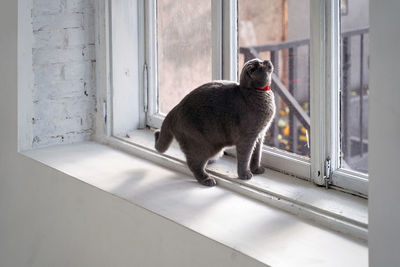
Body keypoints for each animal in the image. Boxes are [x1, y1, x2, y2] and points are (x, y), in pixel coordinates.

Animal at [154, 59, 276, 187]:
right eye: (261, 64)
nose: (267, 61)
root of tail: (174, 110)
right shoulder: (247, 138)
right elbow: (245, 158)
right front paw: (244, 175)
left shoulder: (260, 134)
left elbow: (256, 155)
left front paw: (256, 169)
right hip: (203, 146)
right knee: (193, 164)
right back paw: (207, 179)